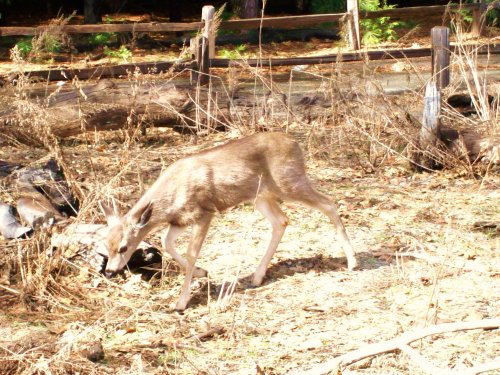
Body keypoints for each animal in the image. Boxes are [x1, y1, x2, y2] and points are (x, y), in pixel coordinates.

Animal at [99, 133, 358, 312]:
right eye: (106, 245)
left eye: (123, 247)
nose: (110, 271)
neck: (171, 198)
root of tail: (296, 144)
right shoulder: (180, 221)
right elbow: (165, 242)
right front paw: (202, 272)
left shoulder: (204, 212)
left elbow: (191, 252)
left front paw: (181, 302)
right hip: (261, 196)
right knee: (282, 220)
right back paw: (257, 277)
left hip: (289, 182)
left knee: (329, 203)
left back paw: (352, 261)